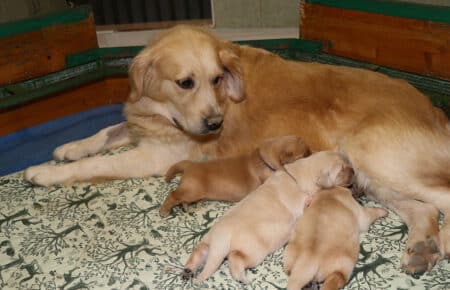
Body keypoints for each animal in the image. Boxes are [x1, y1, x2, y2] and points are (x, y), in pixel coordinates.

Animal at [160, 135, 312, 216]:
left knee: (181, 199)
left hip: (193, 194)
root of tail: (190, 165)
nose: (314, 152)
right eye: (305, 154)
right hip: (192, 191)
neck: (263, 159)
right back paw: (164, 210)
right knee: (173, 195)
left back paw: (186, 207)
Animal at [181, 151, 354, 284]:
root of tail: (222, 235)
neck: (300, 174)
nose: (354, 172)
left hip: (208, 242)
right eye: (342, 169)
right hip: (253, 251)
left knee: (198, 252)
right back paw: (242, 278)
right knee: (235, 258)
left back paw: (188, 270)